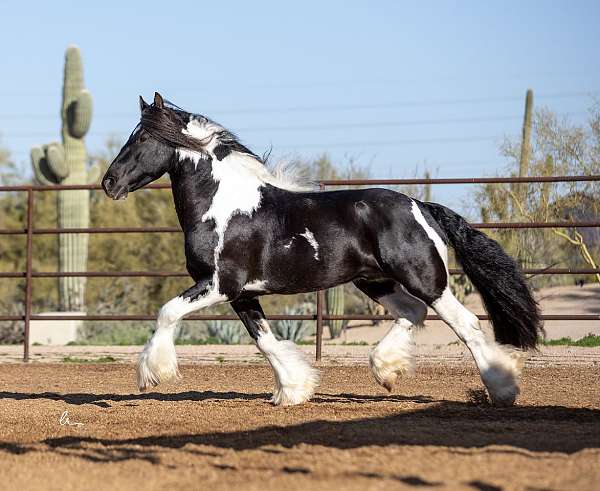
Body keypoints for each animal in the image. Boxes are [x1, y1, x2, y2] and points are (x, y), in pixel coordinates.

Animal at [103, 92, 544, 408]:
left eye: (142, 138)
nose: (109, 183)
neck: (223, 206)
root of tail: (422, 206)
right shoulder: (243, 295)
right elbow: (265, 341)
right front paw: (293, 392)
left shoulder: (219, 285)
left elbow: (166, 312)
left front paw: (152, 374)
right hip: (375, 280)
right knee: (412, 312)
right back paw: (386, 371)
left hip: (425, 279)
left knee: (465, 324)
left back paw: (503, 390)